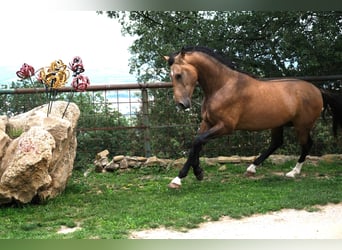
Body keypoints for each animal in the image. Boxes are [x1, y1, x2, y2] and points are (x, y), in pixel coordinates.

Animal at [164, 46, 342, 188]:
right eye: (171, 76)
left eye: (178, 75)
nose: (181, 104)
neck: (222, 86)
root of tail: (317, 90)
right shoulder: (207, 122)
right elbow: (197, 143)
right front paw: (197, 173)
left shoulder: (225, 127)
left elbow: (197, 141)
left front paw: (180, 179)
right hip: (278, 124)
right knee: (276, 143)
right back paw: (251, 169)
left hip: (302, 126)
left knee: (306, 145)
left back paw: (293, 172)